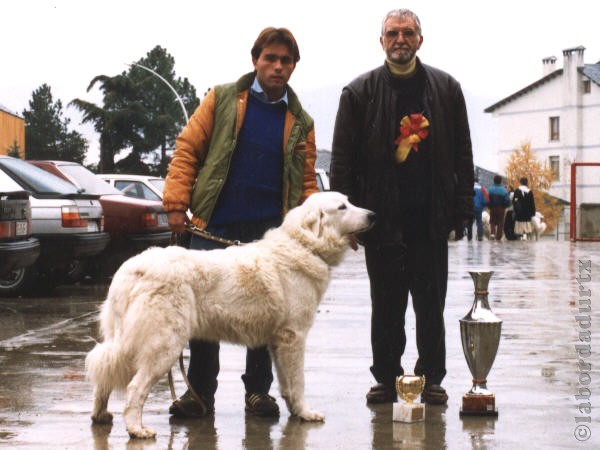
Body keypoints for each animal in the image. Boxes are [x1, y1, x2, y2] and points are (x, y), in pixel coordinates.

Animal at [86, 192, 372, 438]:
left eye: (349, 201)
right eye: (342, 207)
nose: (373, 215)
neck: (305, 246)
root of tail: (132, 268)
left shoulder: (278, 340)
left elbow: (286, 384)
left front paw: (294, 411)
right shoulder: (294, 337)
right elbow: (299, 381)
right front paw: (306, 413)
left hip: (125, 339)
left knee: (104, 372)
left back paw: (100, 415)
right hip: (164, 345)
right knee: (135, 388)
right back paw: (137, 429)